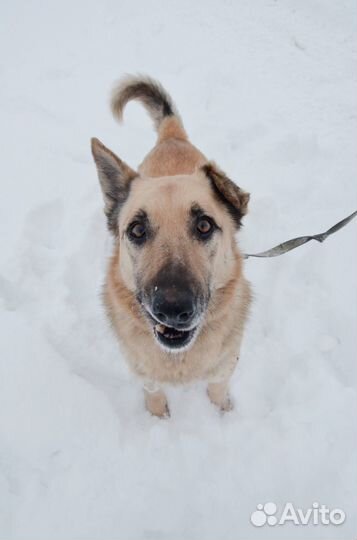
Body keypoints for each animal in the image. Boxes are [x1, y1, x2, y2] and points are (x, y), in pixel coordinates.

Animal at [90, 75, 249, 418]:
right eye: (137, 230)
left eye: (204, 226)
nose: (173, 309)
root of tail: (171, 136)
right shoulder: (142, 370)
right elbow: (152, 390)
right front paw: (158, 416)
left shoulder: (225, 365)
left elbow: (218, 387)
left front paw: (222, 413)